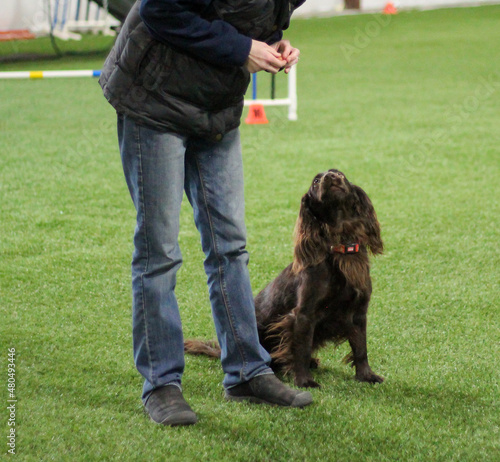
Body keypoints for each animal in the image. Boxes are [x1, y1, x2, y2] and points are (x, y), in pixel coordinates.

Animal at [185, 169, 384, 388]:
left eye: (339, 173)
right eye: (316, 182)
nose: (330, 177)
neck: (341, 247)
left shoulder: (358, 312)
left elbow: (361, 348)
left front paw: (367, 376)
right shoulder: (303, 314)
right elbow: (301, 349)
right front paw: (304, 381)